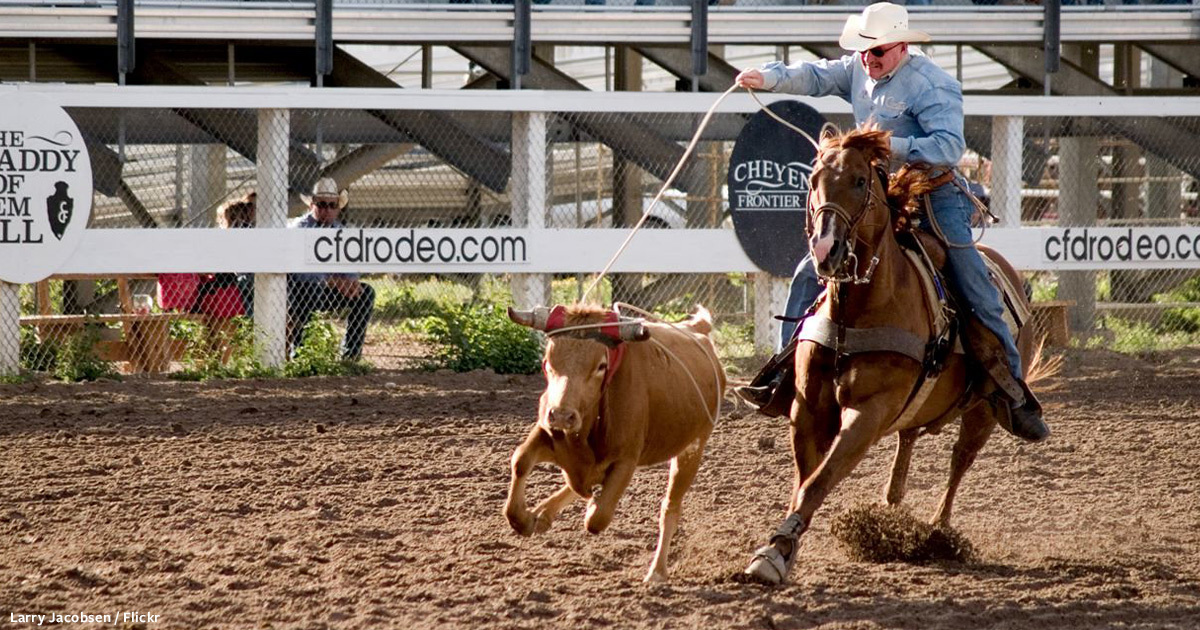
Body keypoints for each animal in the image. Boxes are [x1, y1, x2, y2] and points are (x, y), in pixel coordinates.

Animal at [503, 303, 726, 583]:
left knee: (669, 508)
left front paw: (590, 508)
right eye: (548, 361)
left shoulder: (626, 461)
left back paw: (657, 571)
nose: (563, 415)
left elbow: (598, 517)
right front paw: (524, 518)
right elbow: (521, 460)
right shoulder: (549, 432)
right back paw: (544, 513)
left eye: (601, 365)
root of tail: (698, 329)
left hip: (692, 449)